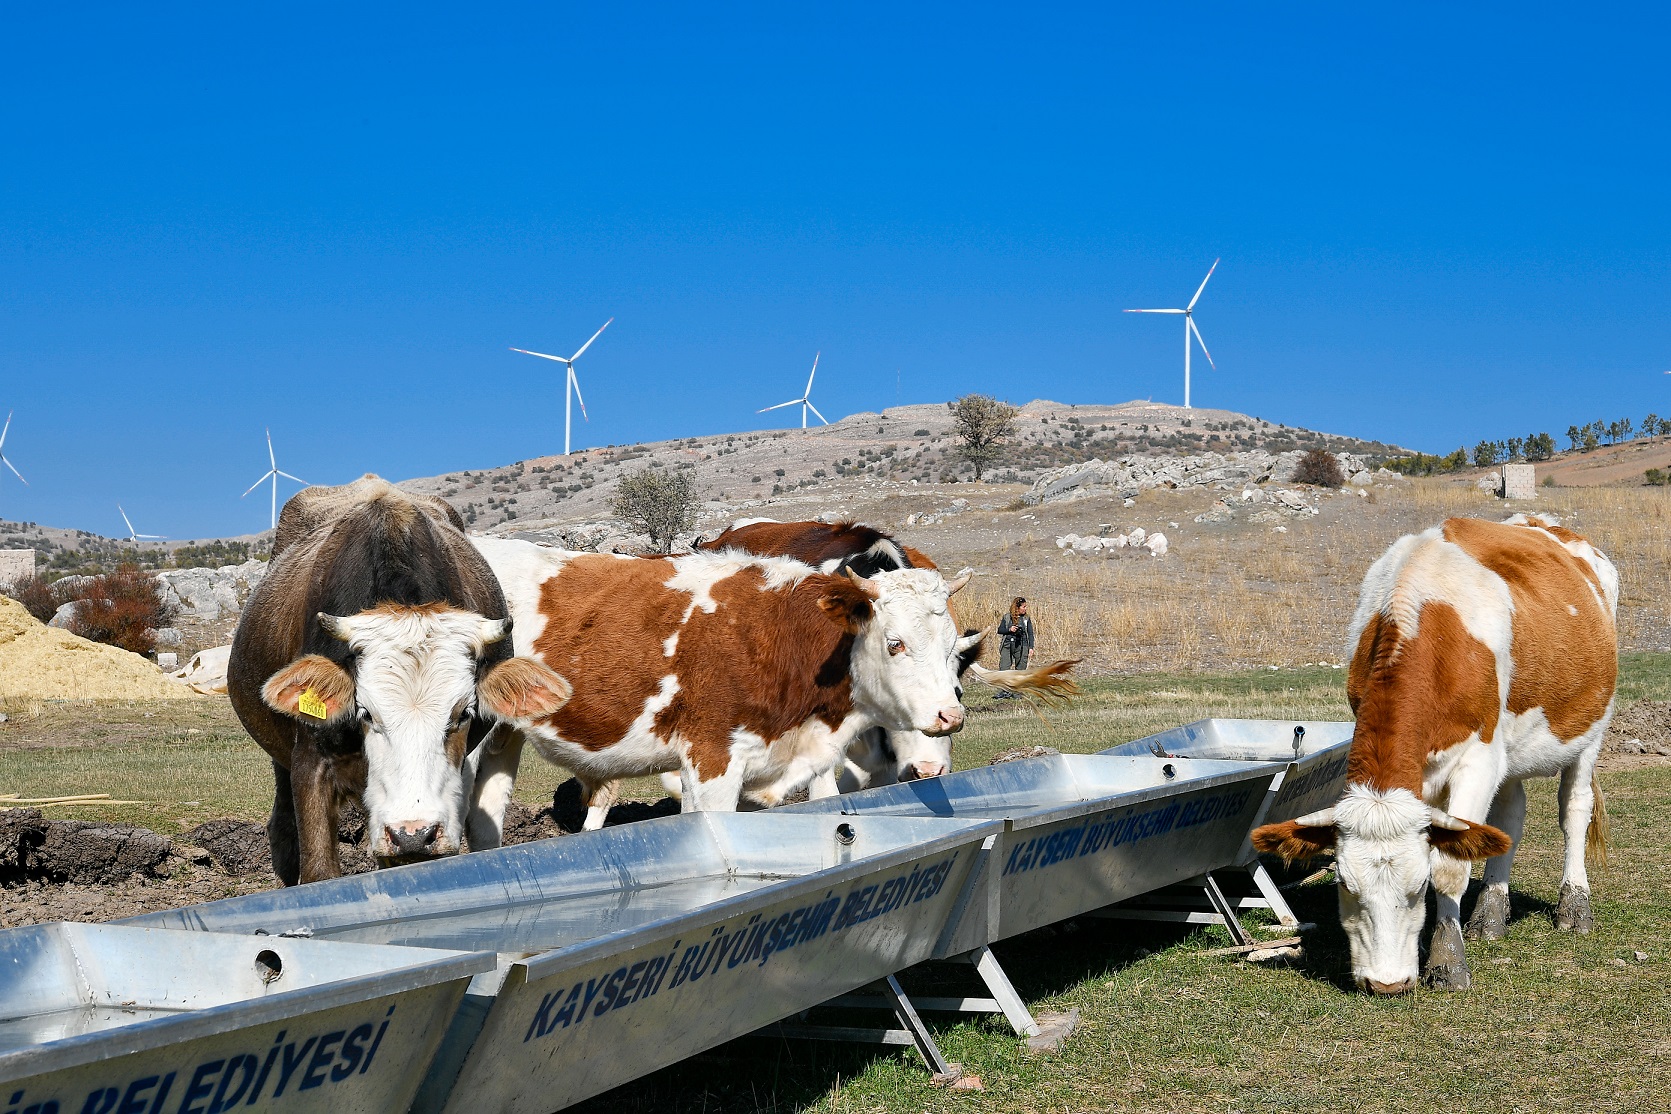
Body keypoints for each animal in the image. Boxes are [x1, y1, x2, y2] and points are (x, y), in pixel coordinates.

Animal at [1256, 514, 1617, 995]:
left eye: (1419, 885)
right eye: (1345, 885)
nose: (1385, 984)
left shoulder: (1478, 760)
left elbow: (1452, 864)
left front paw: (1447, 962)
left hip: (1590, 728)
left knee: (1575, 809)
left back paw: (1574, 907)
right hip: (1510, 748)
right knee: (1508, 818)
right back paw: (1490, 914)